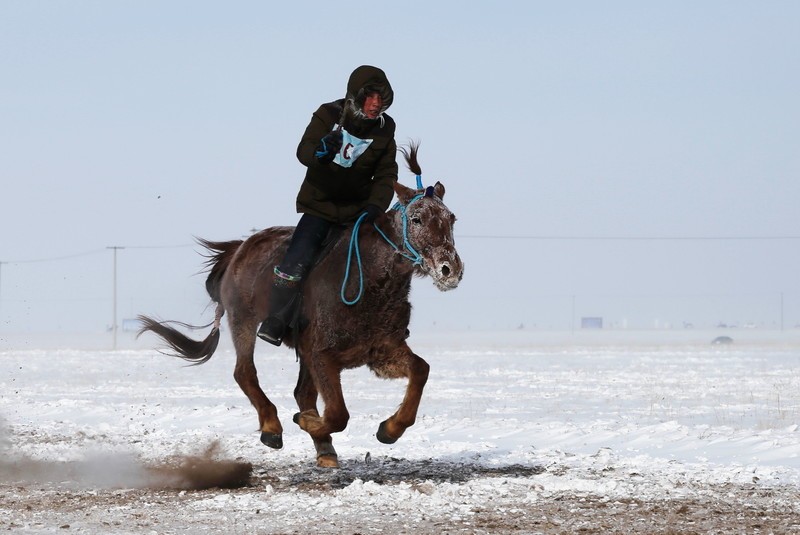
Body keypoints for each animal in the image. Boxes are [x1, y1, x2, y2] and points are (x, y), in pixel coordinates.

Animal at [138, 144, 462, 466]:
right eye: (417, 219)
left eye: (451, 218)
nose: (450, 270)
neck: (366, 282)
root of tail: (239, 249)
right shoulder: (323, 355)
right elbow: (339, 413)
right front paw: (304, 421)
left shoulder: (379, 352)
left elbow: (420, 370)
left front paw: (389, 429)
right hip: (243, 320)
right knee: (245, 372)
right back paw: (273, 428)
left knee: (301, 392)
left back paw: (324, 448)